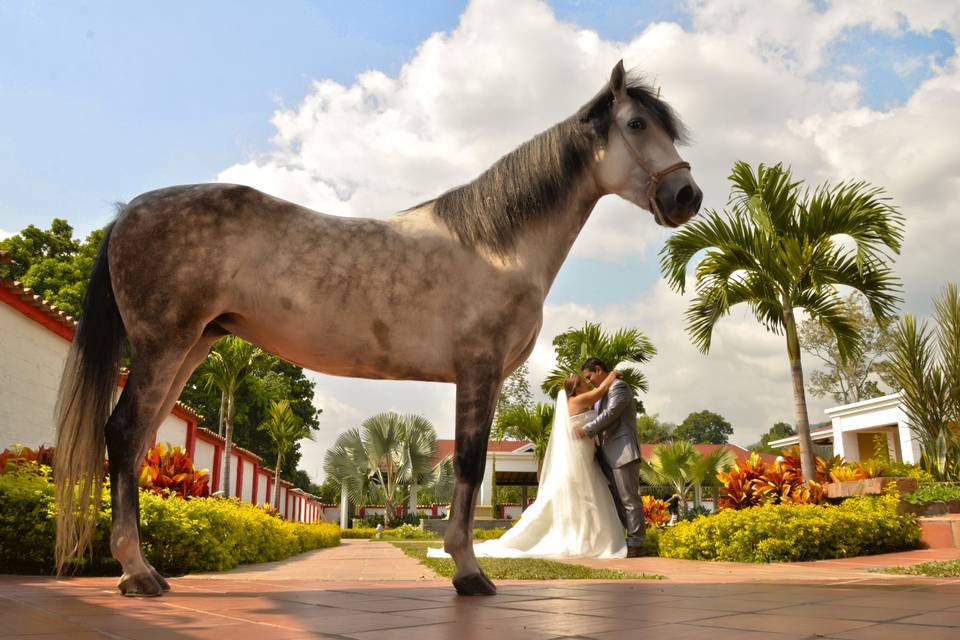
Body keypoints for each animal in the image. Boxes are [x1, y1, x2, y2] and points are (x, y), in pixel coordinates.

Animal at [54, 60, 696, 596]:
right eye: (636, 123)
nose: (686, 195)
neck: (497, 244)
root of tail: (127, 215)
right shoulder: (478, 370)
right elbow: (468, 465)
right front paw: (469, 573)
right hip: (164, 345)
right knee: (123, 434)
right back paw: (137, 573)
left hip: (193, 344)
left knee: (138, 441)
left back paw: (142, 570)